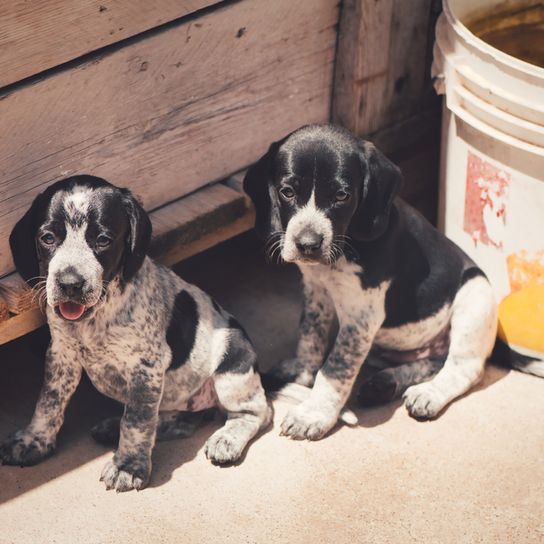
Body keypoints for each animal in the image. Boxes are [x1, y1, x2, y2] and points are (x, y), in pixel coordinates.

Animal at [0, 176, 272, 490]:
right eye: (47, 238)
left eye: (103, 240)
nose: (69, 284)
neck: (96, 318)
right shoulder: (61, 355)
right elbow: (48, 402)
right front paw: (34, 440)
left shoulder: (146, 368)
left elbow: (137, 421)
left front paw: (128, 466)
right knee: (181, 422)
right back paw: (115, 428)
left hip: (234, 362)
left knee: (257, 412)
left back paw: (226, 439)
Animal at [244, 125, 500, 440]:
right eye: (287, 192)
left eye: (342, 195)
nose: (308, 244)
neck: (343, 250)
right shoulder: (316, 292)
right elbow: (311, 335)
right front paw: (302, 371)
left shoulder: (361, 318)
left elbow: (335, 369)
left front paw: (313, 414)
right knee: (431, 362)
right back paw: (386, 383)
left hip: (475, 295)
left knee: (463, 367)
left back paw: (427, 394)